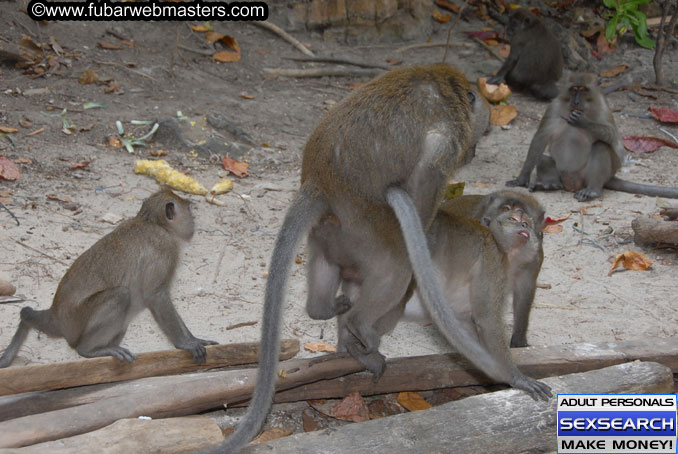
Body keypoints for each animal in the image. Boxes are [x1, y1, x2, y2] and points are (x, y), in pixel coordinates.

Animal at [0, 188, 218, 368]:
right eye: (189, 210)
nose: (193, 222)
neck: (152, 222)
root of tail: (55, 315)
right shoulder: (164, 248)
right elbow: (156, 295)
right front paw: (186, 343)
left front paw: (195, 338)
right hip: (78, 321)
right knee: (121, 295)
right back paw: (89, 349)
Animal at [209, 65, 552, 452]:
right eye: (480, 132)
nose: (474, 151)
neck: (447, 88)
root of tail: (318, 183)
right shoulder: (445, 142)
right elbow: (424, 190)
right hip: (368, 226)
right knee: (397, 270)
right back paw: (360, 328)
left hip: (331, 234)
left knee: (333, 276)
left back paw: (330, 316)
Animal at [508, 72, 678, 200]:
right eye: (574, 89)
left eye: (583, 90)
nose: (576, 102)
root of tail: (572, 183)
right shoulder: (553, 107)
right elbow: (540, 138)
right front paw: (521, 179)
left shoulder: (603, 107)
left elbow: (614, 139)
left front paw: (583, 121)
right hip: (561, 173)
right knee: (542, 158)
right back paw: (550, 184)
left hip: (590, 175)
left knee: (601, 146)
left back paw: (592, 190)